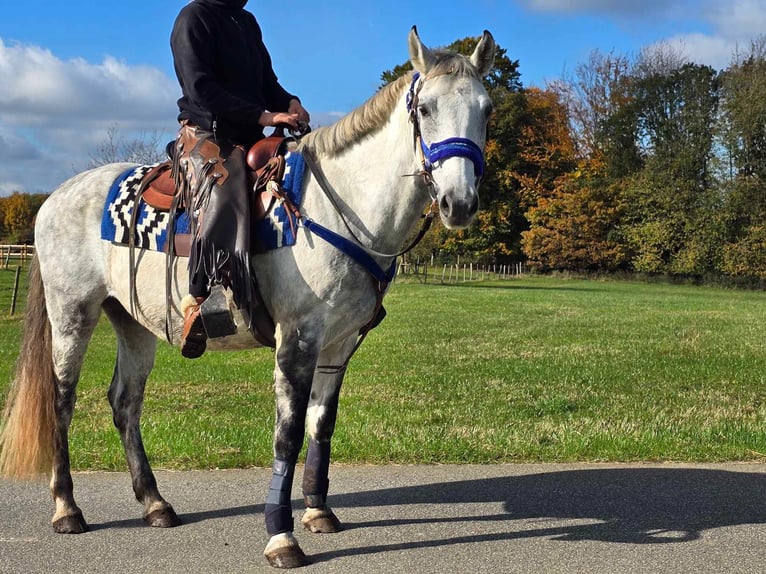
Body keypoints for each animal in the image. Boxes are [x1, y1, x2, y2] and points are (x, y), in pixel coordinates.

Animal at [0, 29, 498, 568]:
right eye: (425, 108)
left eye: (487, 110)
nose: (459, 203)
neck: (339, 208)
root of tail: (56, 197)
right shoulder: (298, 339)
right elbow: (288, 433)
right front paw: (282, 536)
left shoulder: (338, 345)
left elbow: (322, 426)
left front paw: (318, 511)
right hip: (73, 315)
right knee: (62, 401)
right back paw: (66, 509)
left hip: (133, 323)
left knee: (124, 403)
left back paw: (155, 503)